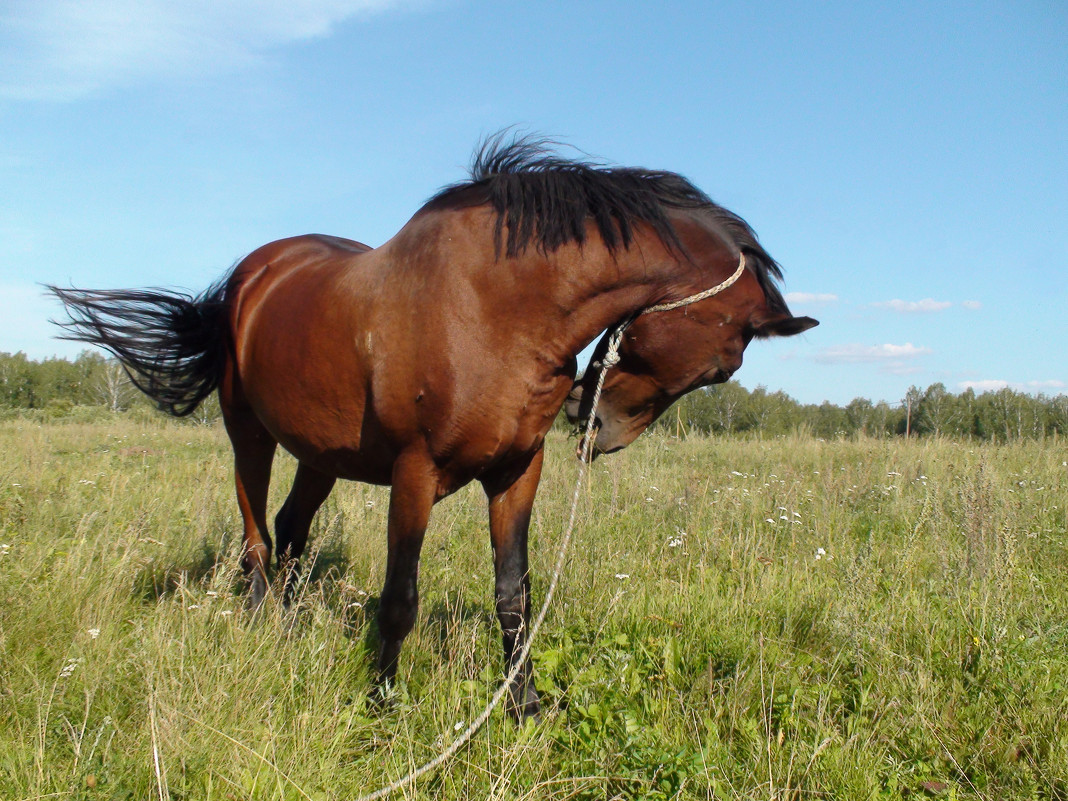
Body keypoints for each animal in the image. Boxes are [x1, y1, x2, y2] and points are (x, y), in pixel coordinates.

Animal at [48, 135, 815, 717]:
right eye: (722, 366)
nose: (598, 427)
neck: (495, 307)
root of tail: (250, 277)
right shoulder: (414, 474)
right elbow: (400, 599)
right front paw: (381, 704)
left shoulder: (516, 472)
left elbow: (514, 595)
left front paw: (523, 704)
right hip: (250, 435)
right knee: (258, 539)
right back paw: (266, 624)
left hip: (321, 455)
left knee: (293, 531)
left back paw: (294, 628)